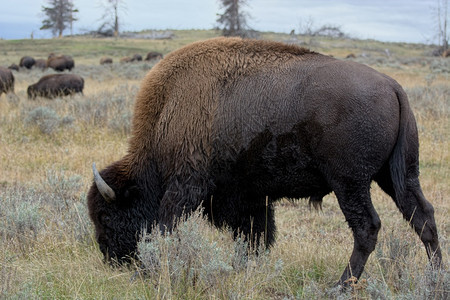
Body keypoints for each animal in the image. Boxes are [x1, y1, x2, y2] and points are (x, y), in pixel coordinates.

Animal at [89, 37, 442, 286]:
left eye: (106, 216)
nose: (110, 258)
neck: (168, 110)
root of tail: (394, 87)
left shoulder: (186, 186)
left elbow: (166, 227)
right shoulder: (248, 196)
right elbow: (255, 235)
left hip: (350, 182)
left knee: (367, 228)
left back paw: (341, 285)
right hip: (397, 175)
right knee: (422, 216)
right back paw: (436, 278)